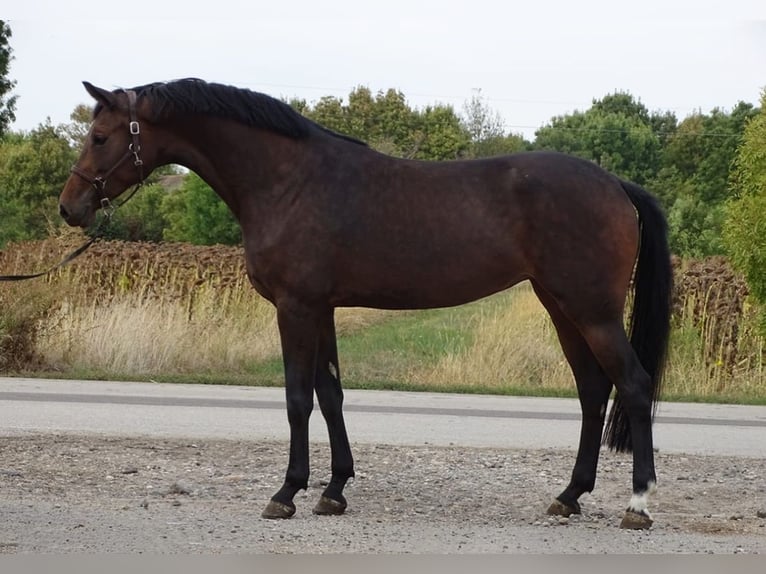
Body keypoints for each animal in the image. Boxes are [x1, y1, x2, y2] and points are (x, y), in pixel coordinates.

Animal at [58, 80, 672, 532]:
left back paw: (638, 505)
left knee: (633, 384)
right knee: (592, 391)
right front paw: (333, 490)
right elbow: (330, 395)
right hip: (562, 307)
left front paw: (287, 492)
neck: (289, 181)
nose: (70, 207)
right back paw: (569, 496)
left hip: (591, 311)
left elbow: (297, 399)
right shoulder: (322, 309)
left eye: (100, 136)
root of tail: (615, 184)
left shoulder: (296, 307)